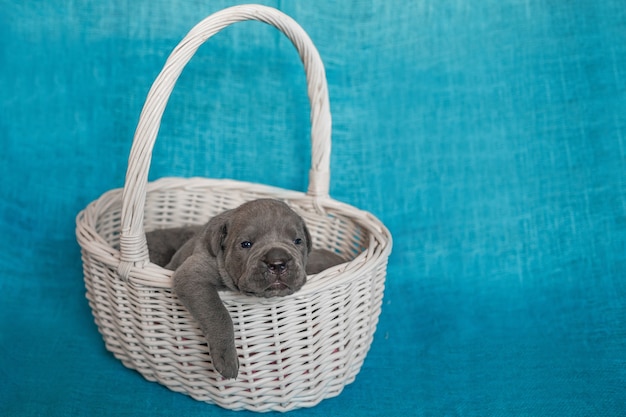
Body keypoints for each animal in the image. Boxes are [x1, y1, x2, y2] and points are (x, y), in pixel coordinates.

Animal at [144, 200, 344, 378]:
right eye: (246, 244)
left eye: (297, 241)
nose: (277, 262)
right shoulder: (192, 275)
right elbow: (219, 314)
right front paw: (227, 360)